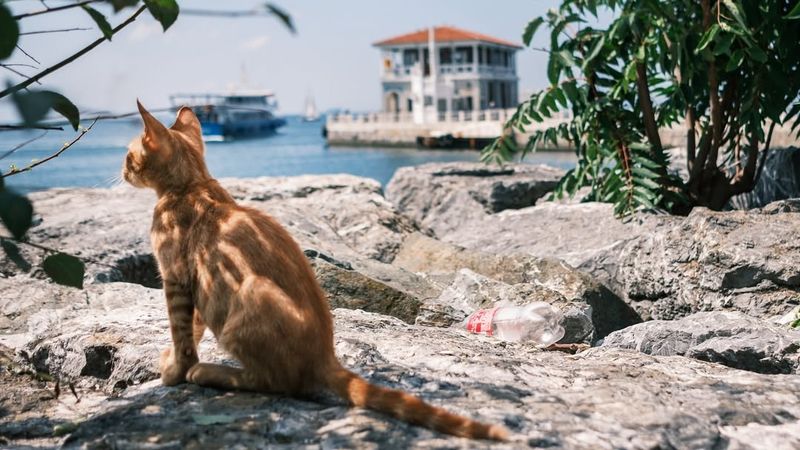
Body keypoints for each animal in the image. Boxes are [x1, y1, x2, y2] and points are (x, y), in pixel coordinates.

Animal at [122, 101, 510, 440]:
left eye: (128, 155)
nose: (122, 171)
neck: (193, 185)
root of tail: (326, 357)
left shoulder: (175, 275)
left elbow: (181, 332)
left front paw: (177, 371)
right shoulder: (197, 288)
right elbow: (194, 327)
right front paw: (175, 361)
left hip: (249, 295)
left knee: (278, 382)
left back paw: (213, 372)